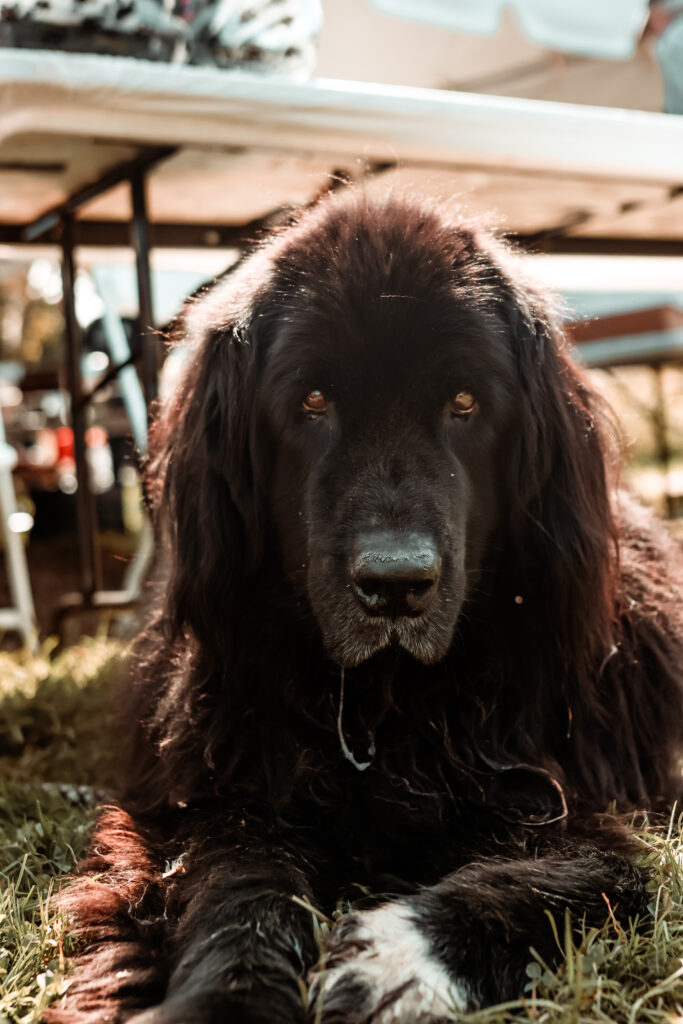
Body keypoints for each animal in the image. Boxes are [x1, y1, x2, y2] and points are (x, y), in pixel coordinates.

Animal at [50, 193, 683, 1024]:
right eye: (313, 402)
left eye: (464, 404)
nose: (395, 583)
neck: (385, 713)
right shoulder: (225, 796)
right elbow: (236, 890)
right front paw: (226, 997)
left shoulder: (575, 802)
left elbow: (586, 875)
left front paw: (397, 960)